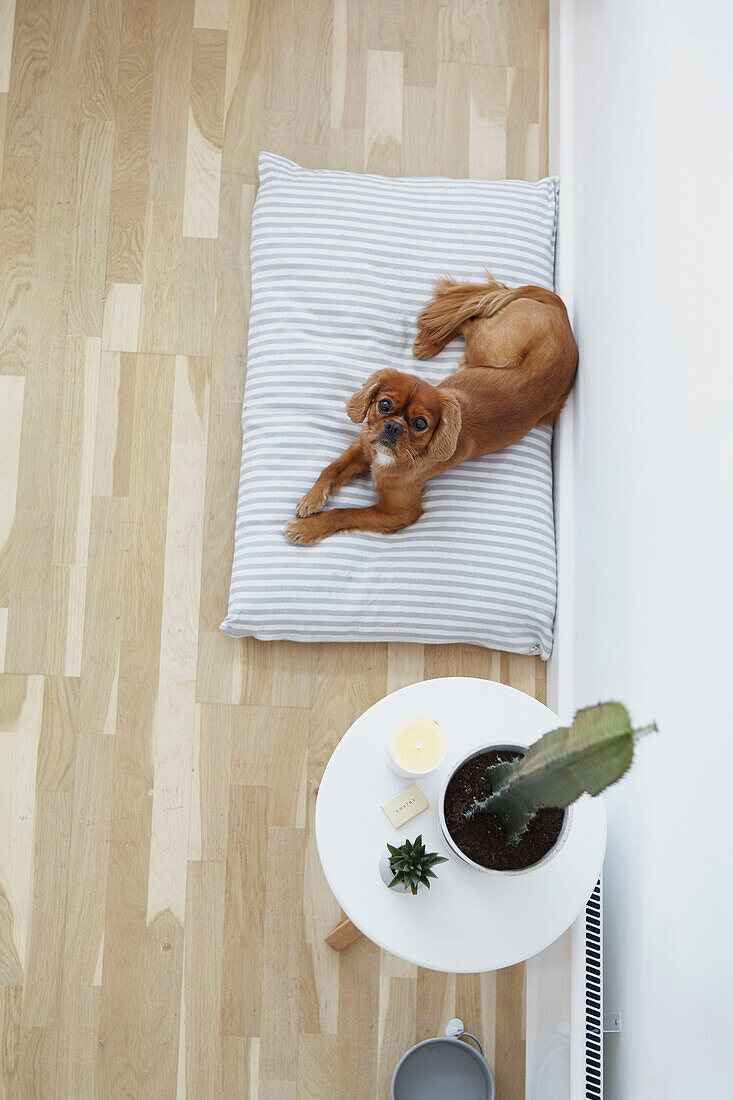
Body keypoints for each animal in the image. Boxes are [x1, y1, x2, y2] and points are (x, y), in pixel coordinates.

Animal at [281, 272, 572, 543]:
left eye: (420, 423)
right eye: (384, 405)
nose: (393, 427)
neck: (390, 458)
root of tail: (562, 314)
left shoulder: (398, 513)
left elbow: (345, 513)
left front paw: (307, 529)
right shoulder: (364, 448)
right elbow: (331, 469)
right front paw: (312, 499)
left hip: (495, 350)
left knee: (472, 318)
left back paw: (430, 342)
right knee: (470, 315)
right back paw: (429, 345)